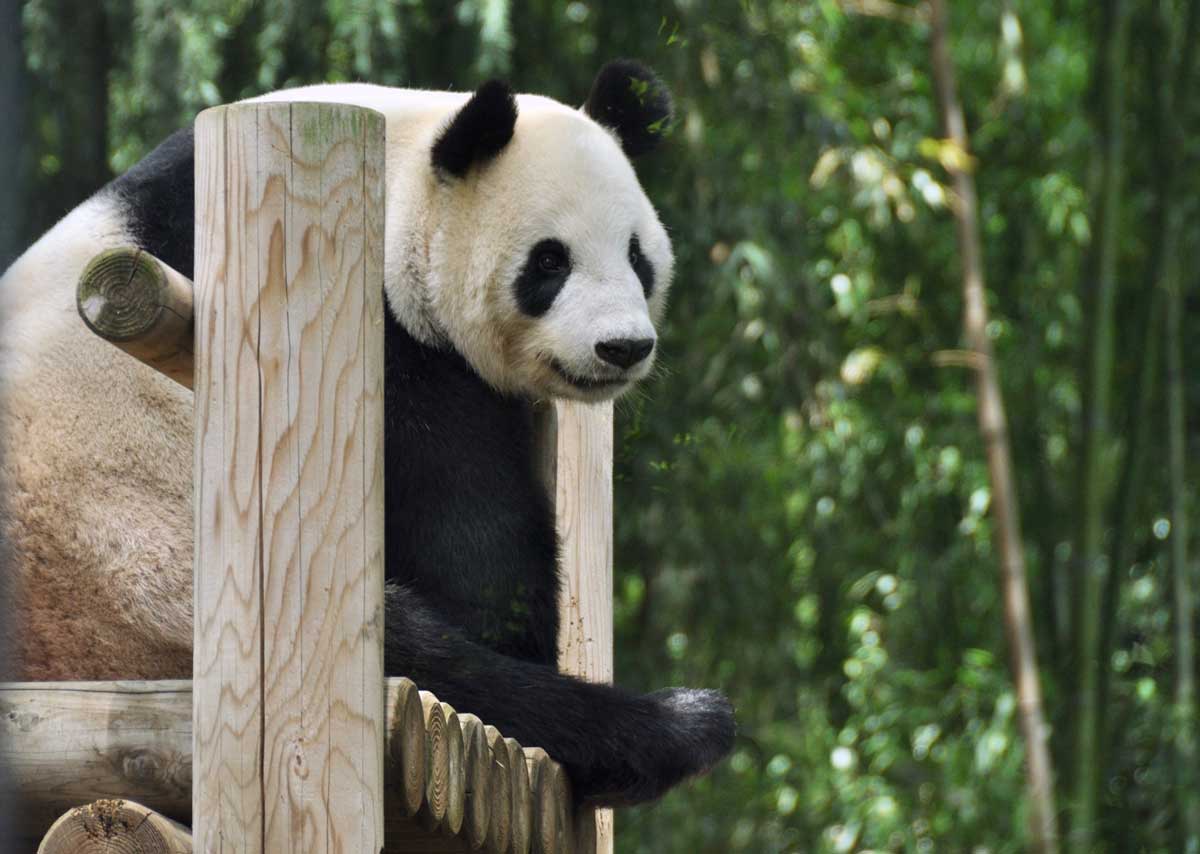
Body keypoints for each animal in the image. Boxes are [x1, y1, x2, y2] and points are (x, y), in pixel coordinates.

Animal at [0, 61, 734, 806]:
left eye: (638, 257)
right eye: (549, 263)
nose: (623, 347)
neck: (398, 168)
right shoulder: (353, 333)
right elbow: (469, 535)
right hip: (146, 577)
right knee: (431, 660)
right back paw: (676, 727)